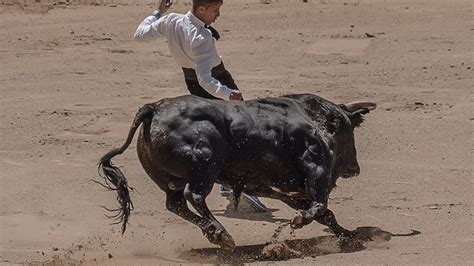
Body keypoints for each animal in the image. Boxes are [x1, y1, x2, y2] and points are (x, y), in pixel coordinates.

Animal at [98, 93, 376, 249]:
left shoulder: (276, 187)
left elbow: (325, 213)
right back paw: (221, 234)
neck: (316, 119)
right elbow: (320, 206)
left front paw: (349, 236)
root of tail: (154, 108)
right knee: (194, 196)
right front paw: (299, 222)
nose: (354, 168)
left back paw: (213, 233)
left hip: (169, 181)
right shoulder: (315, 169)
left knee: (175, 204)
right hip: (205, 168)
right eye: (350, 131)